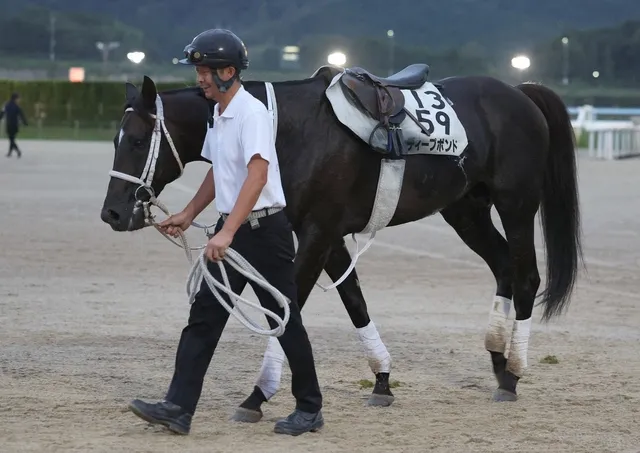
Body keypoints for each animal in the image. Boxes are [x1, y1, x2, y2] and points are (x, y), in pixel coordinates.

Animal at [101, 65, 584, 422]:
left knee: (526, 276)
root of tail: (520, 92)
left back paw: (515, 369)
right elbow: (354, 302)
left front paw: (259, 395)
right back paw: (499, 364)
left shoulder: (318, 232)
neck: (285, 127)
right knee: (503, 266)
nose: (113, 213)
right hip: (466, 209)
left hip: (516, 205)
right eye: (115, 139)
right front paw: (383, 380)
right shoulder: (327, 236)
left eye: (139, 140)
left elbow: (287, 310)